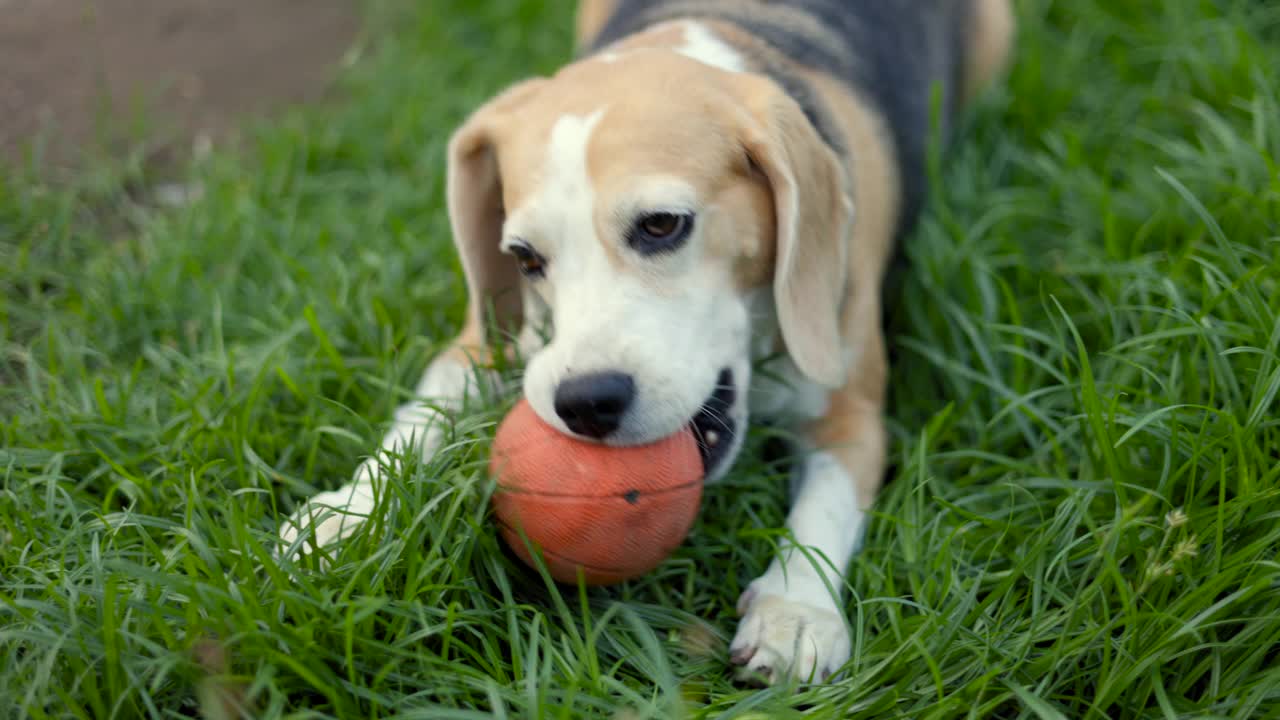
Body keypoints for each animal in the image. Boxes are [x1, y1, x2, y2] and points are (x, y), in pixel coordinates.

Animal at [285, 0, 1013, 681]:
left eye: (662, 225)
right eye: (524, 258)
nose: (586, 403)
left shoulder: (852, 410)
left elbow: (826, 504)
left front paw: (796, 608)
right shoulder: (482, 344)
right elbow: (420, 418)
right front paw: (348, 512)